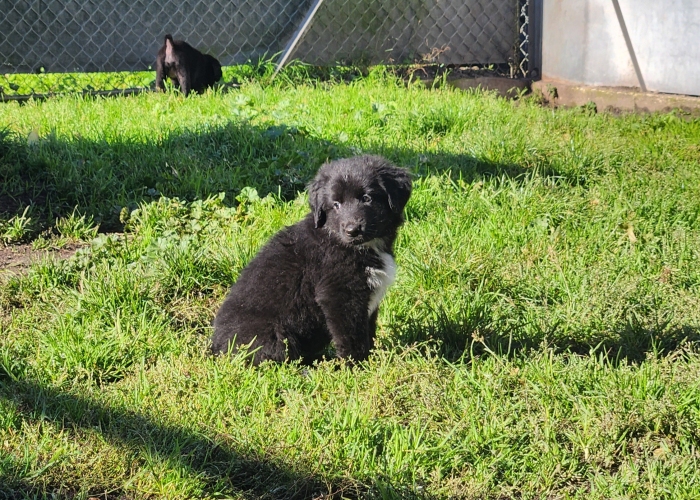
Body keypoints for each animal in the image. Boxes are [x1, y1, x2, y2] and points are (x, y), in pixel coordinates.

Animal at [211, 154, 412, 366]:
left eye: (367, 198)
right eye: (336, 204)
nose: (352, 230)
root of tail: (216, 349)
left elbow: (368, 331)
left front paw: (372, 360)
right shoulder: (339, 295)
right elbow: (351, 337)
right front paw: (358, 366)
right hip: (273, 335)